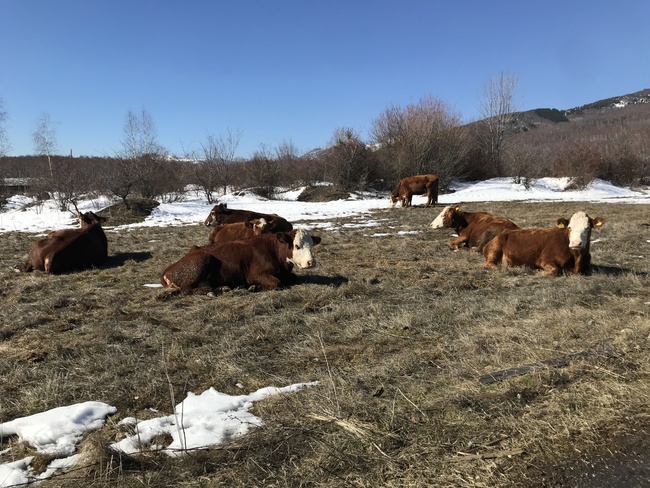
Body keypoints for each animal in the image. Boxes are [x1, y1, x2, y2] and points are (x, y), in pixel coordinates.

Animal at [162, 229, 322, 294]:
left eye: (312, 245)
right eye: (297, 246)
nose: (311, 262)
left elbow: (293, 278)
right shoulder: (254, 275)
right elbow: (276, 282)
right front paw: (254, 287)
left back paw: (221, 288)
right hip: (202, 261)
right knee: (185, 290)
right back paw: (212, 292)